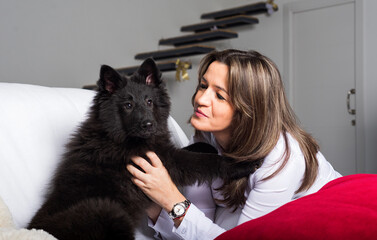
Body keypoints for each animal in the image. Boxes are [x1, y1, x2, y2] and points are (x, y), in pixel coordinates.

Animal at [27, 58, 254, 240]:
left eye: (149, 101)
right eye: (128, 105)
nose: (148, 125)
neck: (117, 135)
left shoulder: (160, 153)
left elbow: (194, 148)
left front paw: (209, 145)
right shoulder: (167, 160)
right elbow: (203, 161)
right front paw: (242, 164)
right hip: (107, 211)